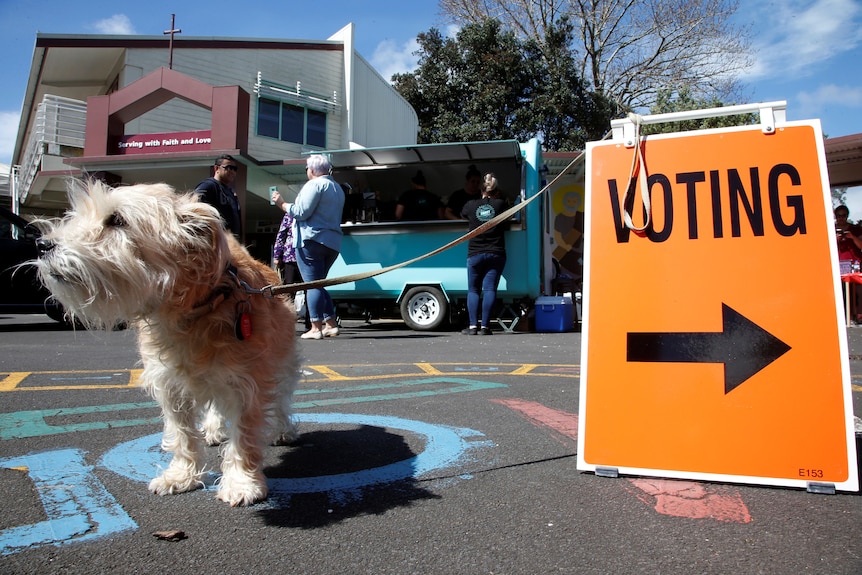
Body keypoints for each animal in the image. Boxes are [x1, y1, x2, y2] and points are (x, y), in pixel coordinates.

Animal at [37, 179, 298, 504]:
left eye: (116, 220)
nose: (43, 245)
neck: (191, 313)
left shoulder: (248, 382)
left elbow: (245, 434)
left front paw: (242, 482)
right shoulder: (171, 384)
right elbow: (182, 434)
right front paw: (182, 475)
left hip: (283, 362)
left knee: (283, 396)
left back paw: (283, 429)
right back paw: (214, 428)